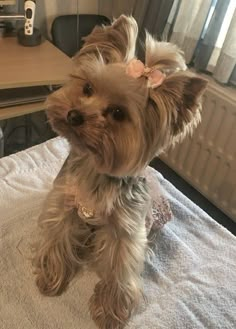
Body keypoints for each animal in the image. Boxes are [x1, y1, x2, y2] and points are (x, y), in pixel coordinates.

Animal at [32, 14, 206, 328]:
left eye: (117, 113)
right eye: (88, 88)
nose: (73, 115)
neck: (95, 168)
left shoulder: (126, 229)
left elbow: (120, 267)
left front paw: (111, 311)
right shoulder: (64, 203)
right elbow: (58, 234)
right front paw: (51, 276)